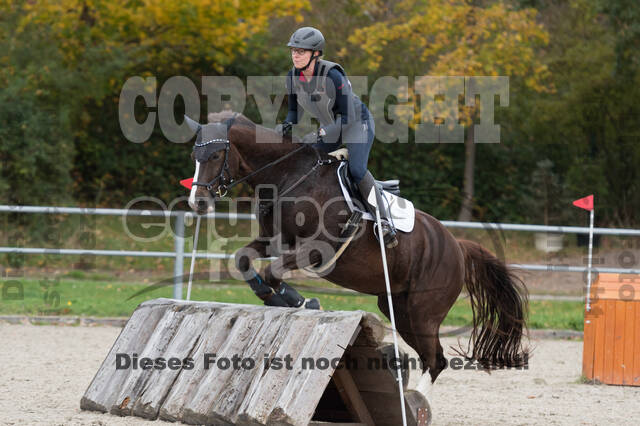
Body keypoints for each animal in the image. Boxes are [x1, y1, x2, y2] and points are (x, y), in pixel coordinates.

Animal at [188, 110, 528, 382]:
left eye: (215, 156)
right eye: (195, 156)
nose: (197, 202)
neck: (289, 176)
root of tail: (457, 245)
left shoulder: (316, 248)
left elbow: (273, 272)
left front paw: (300, 301)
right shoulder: (275, 242)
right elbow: (243, 259)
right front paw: (273, 298)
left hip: (423, 312)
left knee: (436, 360)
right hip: (398, 309)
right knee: (430, 357)